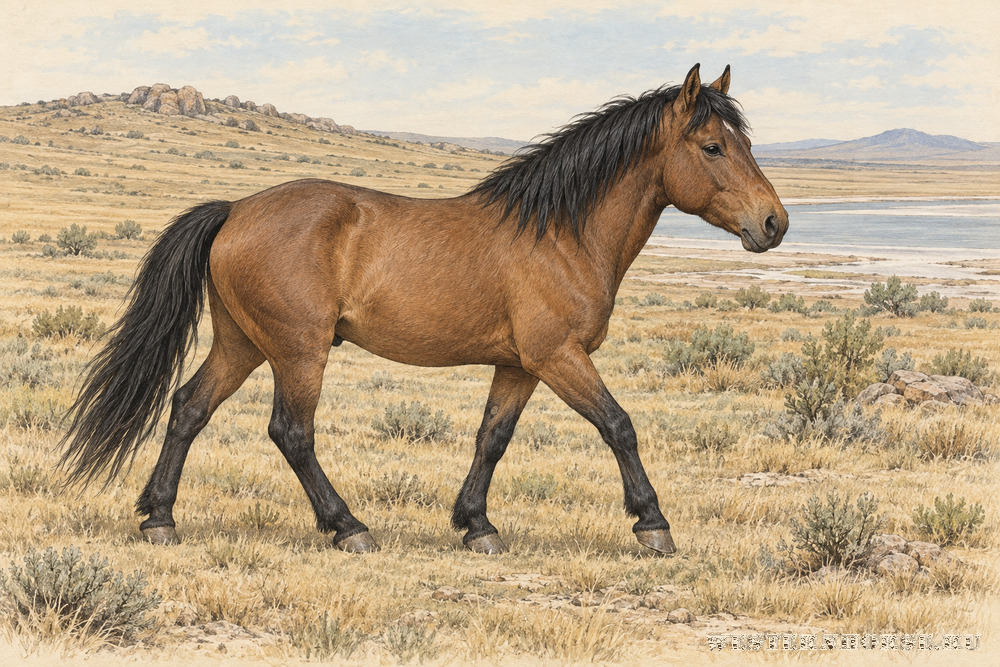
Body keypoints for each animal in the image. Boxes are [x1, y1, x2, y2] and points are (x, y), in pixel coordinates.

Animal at [60, 64, 787, 555]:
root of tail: (235, 210)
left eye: (746, 143)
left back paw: (160, 518)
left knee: (188, 409)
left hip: (241, 343)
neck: (559, 233)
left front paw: (476, 524)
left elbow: (492, 439)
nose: (774, 223)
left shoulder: (519, 366)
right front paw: (652, 523)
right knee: (291, 432)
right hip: (297, 350)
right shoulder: (558, 356)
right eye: (713, 147)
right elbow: (619, 425)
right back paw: (348, 527)